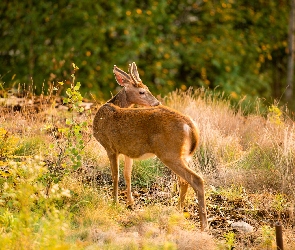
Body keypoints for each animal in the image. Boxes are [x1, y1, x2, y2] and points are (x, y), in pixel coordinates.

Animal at [93, 62, 209, 230]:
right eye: (142, 91)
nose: (156, 103)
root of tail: (190, 126)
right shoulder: (127, 151)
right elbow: (127, 175)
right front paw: (130, 203)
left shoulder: (110, 147)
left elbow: (115, 175)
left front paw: (114, 203)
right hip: (184, 155)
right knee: (184, 181)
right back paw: (178, 211)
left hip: (169, 153)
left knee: (196, 179)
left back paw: (203, 225)